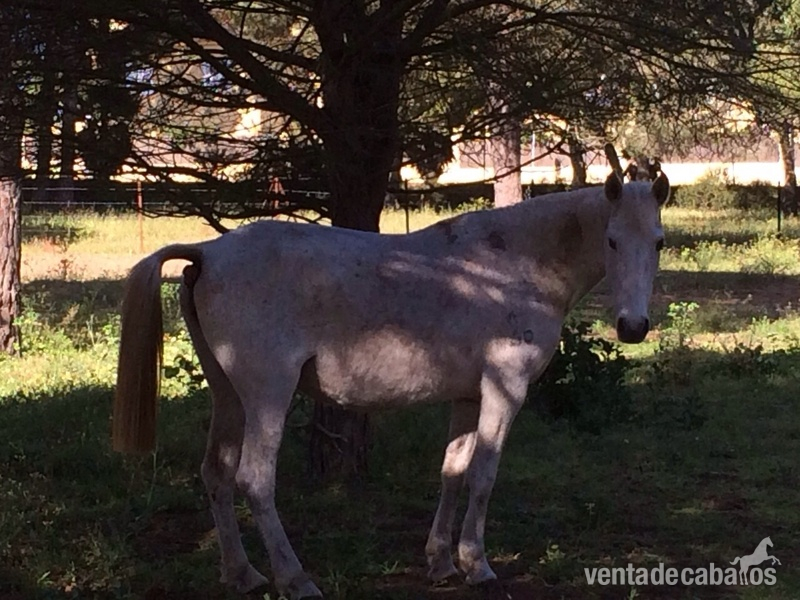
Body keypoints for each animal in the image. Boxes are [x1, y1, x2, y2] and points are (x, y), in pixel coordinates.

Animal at [113, 171, 669, 599]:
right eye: (612, 240)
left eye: (659, 241)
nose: (632, 327)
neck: (513, 265)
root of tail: (209, 252)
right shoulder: (504, 390)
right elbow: (483, 475)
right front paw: (477, 565)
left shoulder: (468, 396)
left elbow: (453, 472)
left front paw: (441, 562)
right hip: (268, 395)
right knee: (254, 479)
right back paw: (295, 580)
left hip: (228, 396)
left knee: (217, 473)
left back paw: (243, 574)